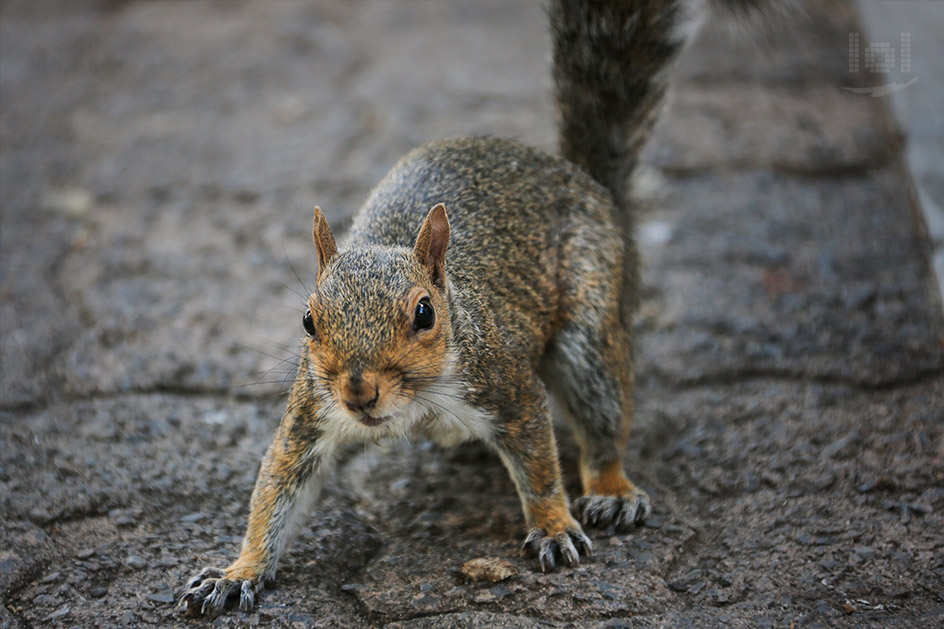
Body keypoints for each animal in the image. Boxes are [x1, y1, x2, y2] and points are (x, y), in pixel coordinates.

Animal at [177, 0, 776, 620]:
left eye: (424, 314)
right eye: (308, 320)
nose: (359, 393)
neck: (415, 405)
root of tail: (593, 187)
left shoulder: (506, 383)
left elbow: (539, 465)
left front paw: (554, 526)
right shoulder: (311, 412)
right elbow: (277, 489)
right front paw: (237, 573)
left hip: (590, 322)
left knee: (603, 415)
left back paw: (610, 491)